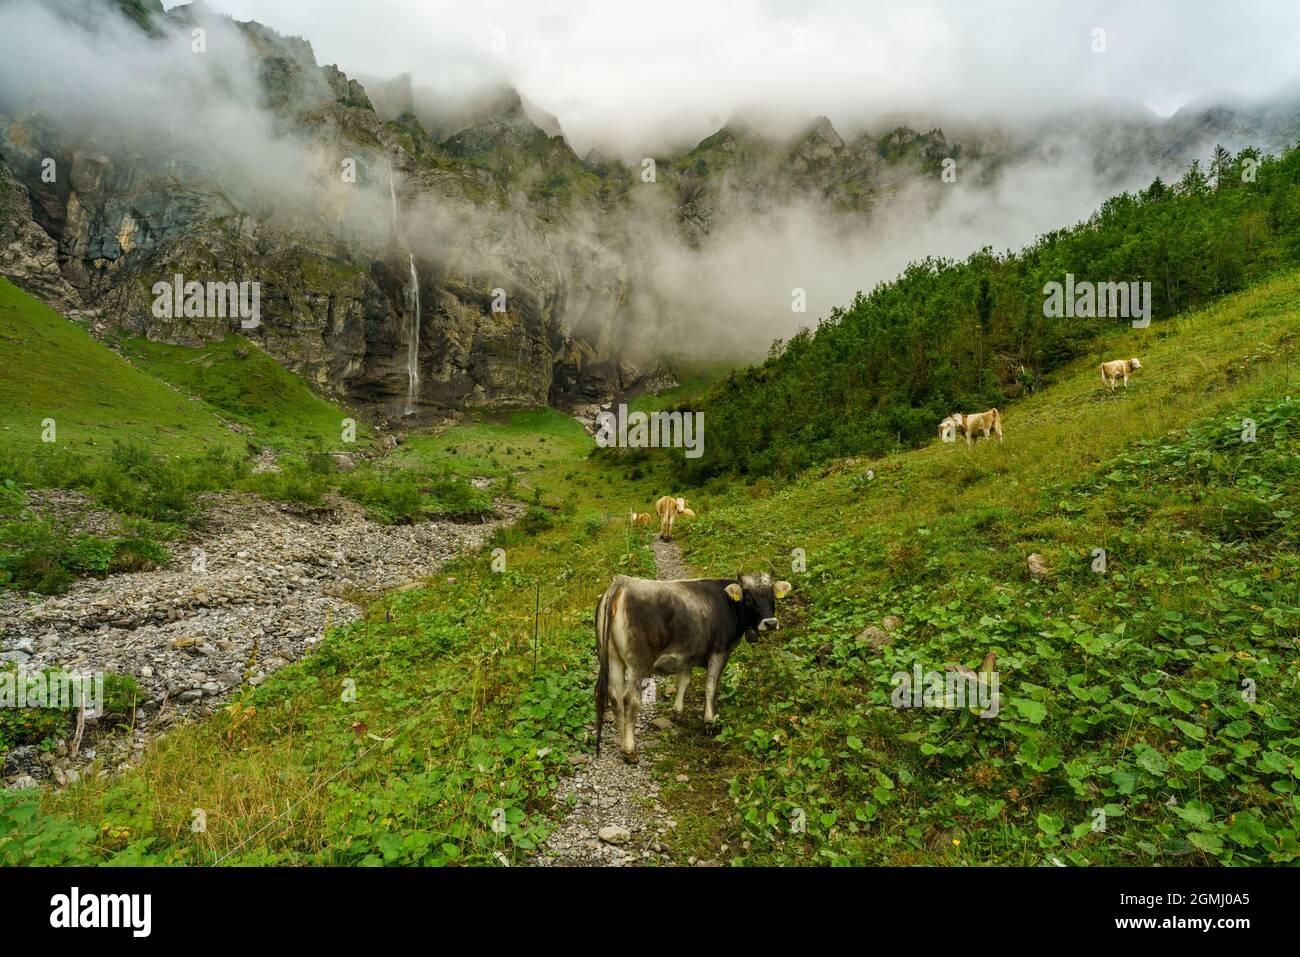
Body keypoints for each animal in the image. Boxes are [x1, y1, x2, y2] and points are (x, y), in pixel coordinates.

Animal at [595, 572, 790, 764]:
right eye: (749, 599)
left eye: (772, 596)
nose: (770, 623)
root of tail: (623, 582)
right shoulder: (720, 651)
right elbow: (711, 686)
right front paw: (709, 721)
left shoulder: (687, 654)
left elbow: (684, 681)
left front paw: (677, 712)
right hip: (639, 663)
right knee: (630, 700)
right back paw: (630, 752)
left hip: (613, 659)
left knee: (615, 697)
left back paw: (621, 742)